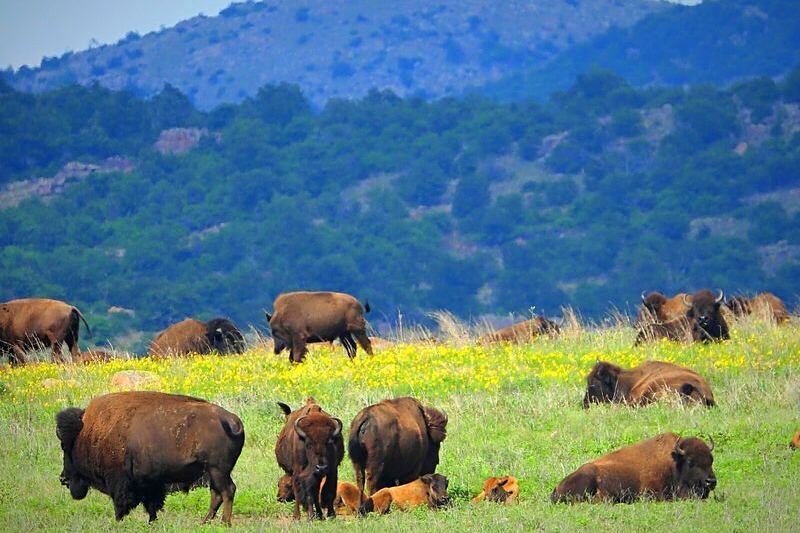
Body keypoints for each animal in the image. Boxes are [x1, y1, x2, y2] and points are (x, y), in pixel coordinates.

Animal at [55, 391, 244, 524]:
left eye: (66, 447)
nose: (63, 478)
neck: (89, 434)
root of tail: (231, 420)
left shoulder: (120, 482)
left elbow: (121, 504)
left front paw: (119, 522)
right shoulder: (150, 482)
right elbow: (152, 505)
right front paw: (152, 522)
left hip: (217, 470)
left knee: (227, 491)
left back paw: (225, 523)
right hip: (213, 471)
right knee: (216, 494)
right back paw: (204, 522)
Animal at [551, 432, 716, 503]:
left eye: (711, 459)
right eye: (690, 462)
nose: (711, 481)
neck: (674, 463)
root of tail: (556, 488)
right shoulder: (649, 493)